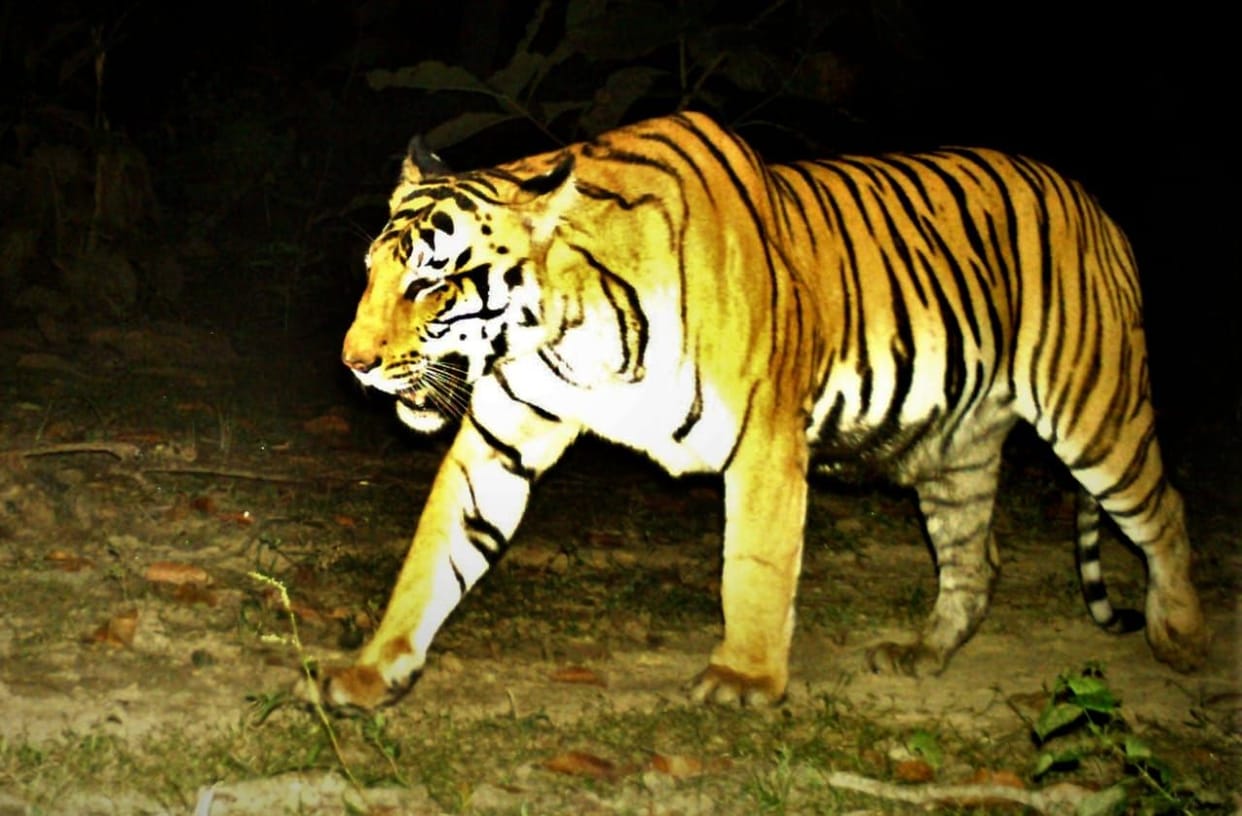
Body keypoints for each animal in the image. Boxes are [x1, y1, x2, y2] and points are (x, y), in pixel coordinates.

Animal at [314, 111, 1209, 709]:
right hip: (956, 454)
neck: (566, 334)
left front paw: (743, 680)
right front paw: (371, 668)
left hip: (1095, 408)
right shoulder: (501, 438)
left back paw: (1180, 636)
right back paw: (922, 654)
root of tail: (1091, 201)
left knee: (1163, 509)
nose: (354, 363)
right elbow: (435, 553)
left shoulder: (767, 440)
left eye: (429, 283)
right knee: (974, 558)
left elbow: (755, 566)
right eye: (371, 274)